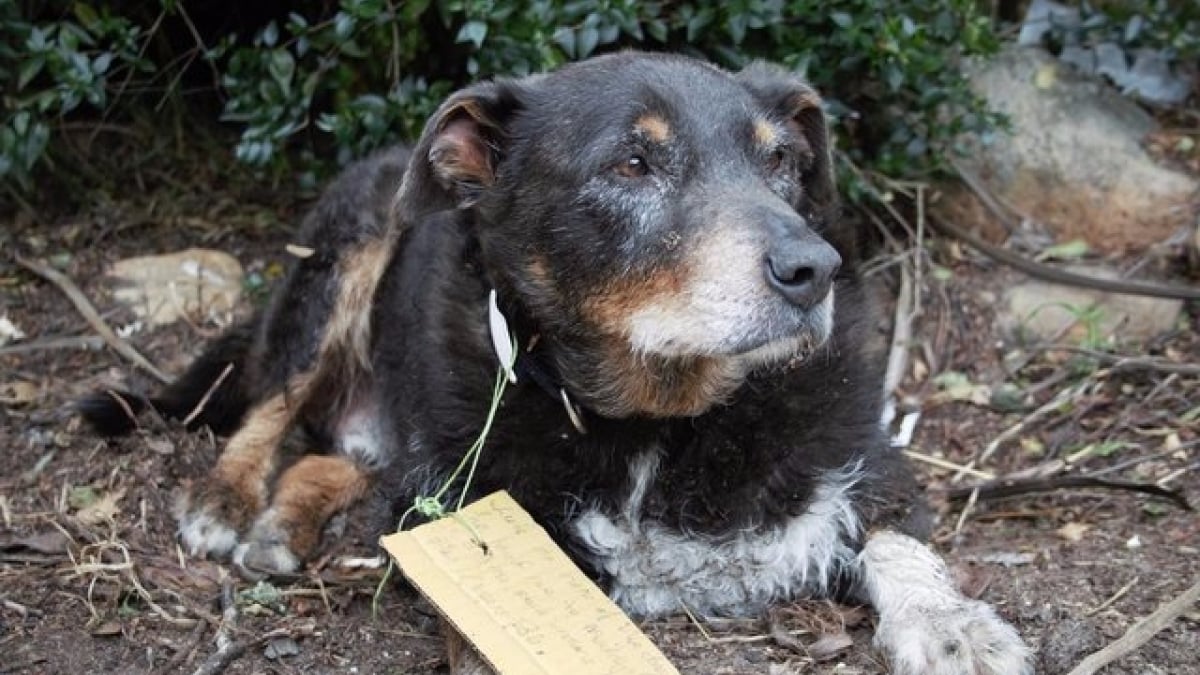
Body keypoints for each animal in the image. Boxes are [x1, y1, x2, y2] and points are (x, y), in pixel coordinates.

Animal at [84, 49, 1036, 667]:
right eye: (632, 162)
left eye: (783, 162)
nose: (814, 269)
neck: (661, 422)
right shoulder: (463, 507)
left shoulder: (873, 463)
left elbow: (904, 546)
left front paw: (955, 627)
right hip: (343, 258)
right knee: (270, 404)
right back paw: (228, 498)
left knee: (343, 457)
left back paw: (286, 520)